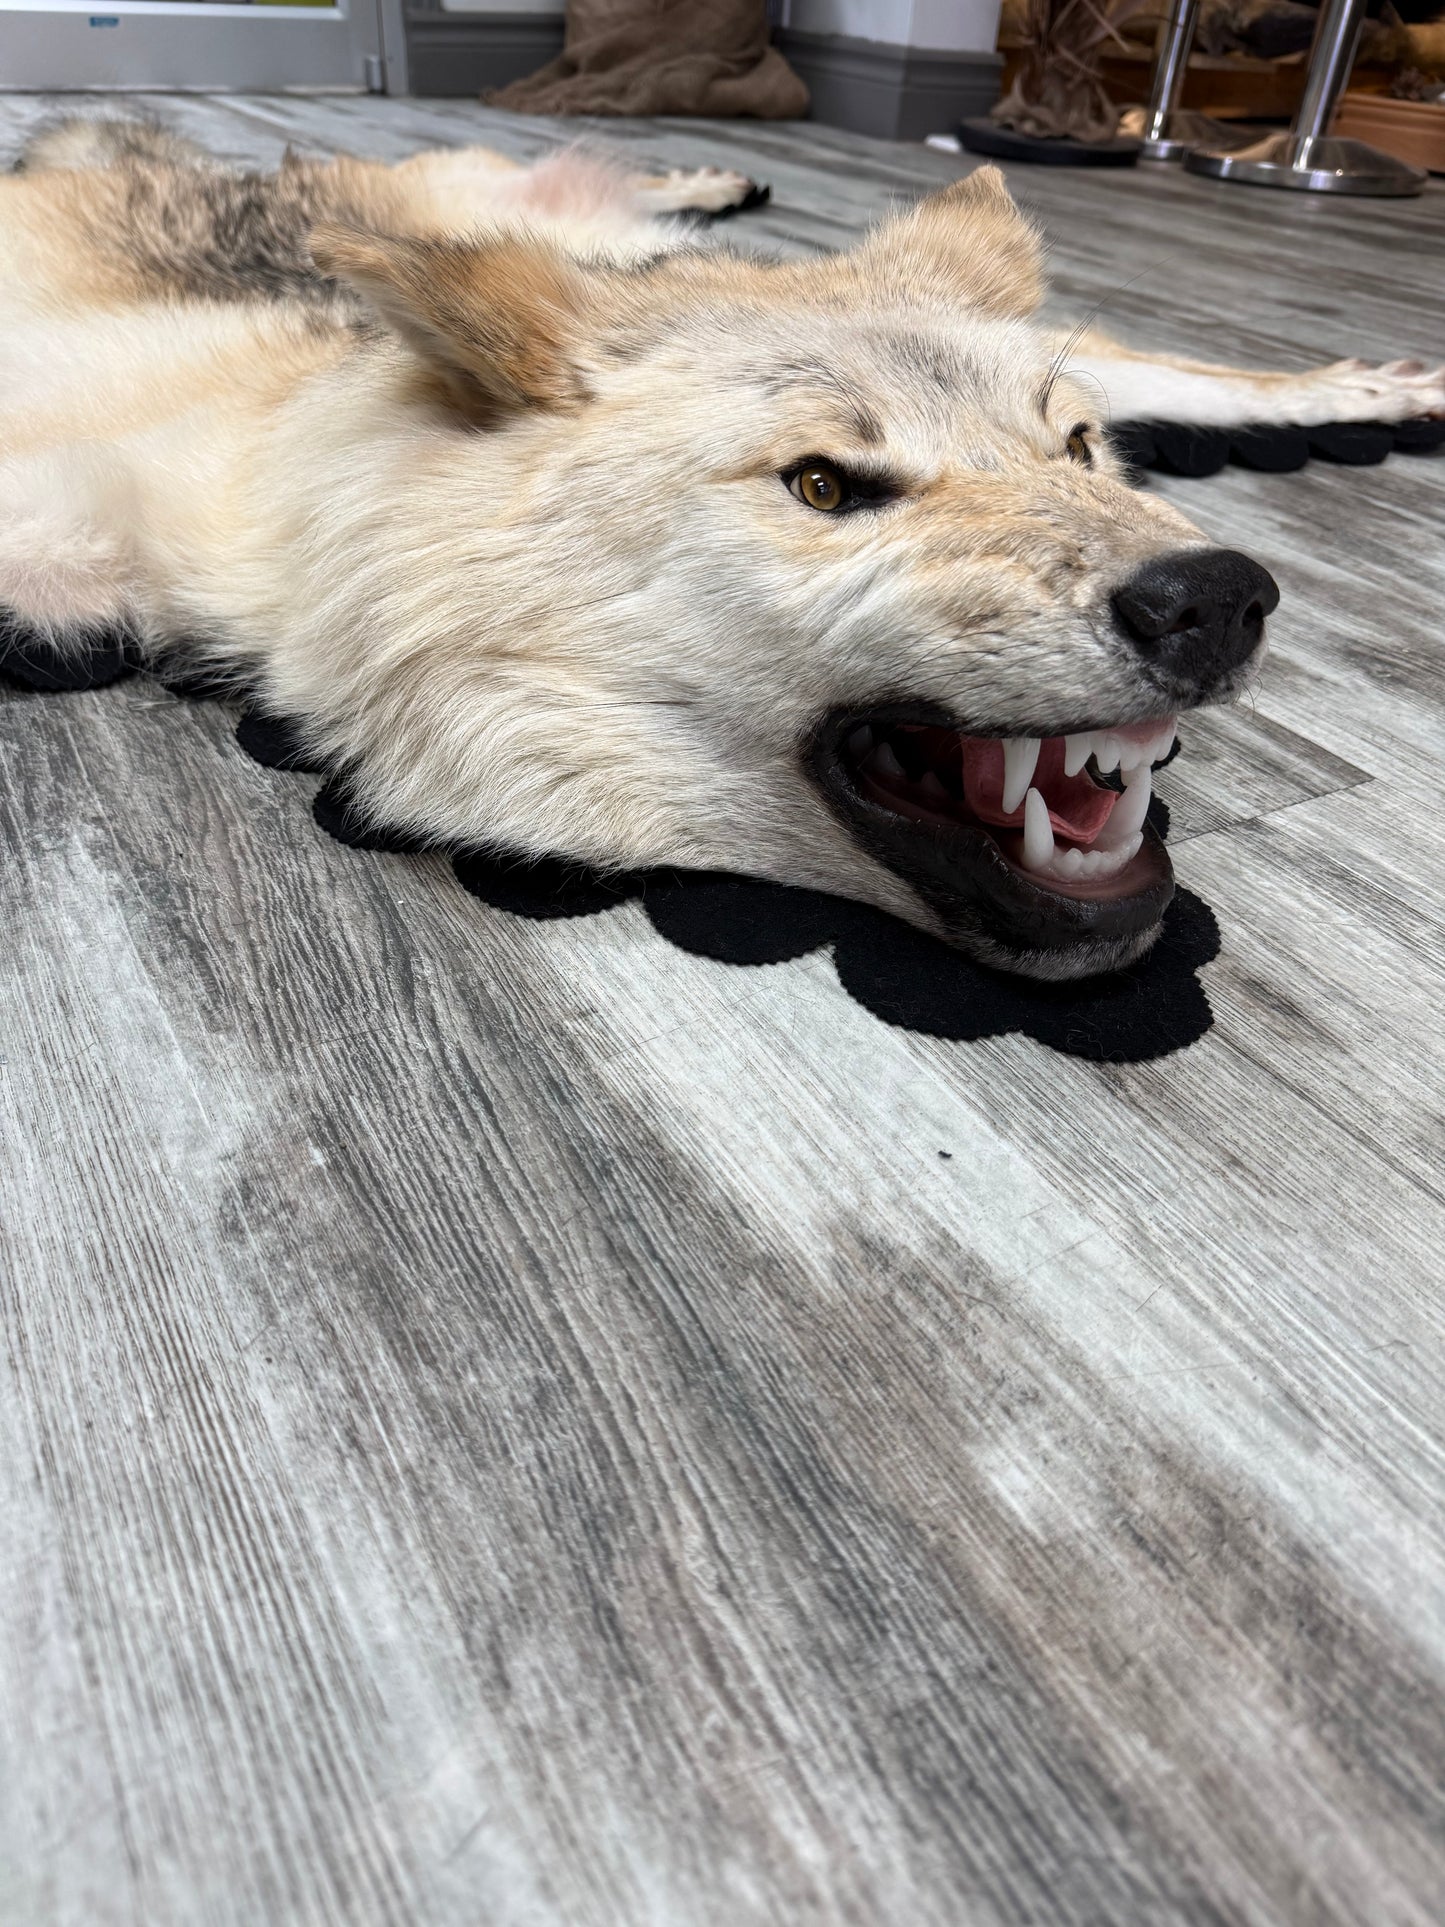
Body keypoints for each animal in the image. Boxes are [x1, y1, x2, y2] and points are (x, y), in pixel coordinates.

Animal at [2, 116, 1440, 979]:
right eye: (822, 484)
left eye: (1076, 451)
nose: (1217, 595)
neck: (306, 453)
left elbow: (1171, 373)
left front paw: (1354, 393)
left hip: (552, 232)